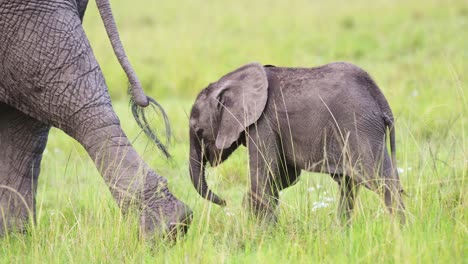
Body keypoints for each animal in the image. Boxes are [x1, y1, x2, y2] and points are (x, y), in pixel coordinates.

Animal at [188, 62, 404, 223]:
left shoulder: (263, 123)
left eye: (198, 131)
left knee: (380, 181)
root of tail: (380, 99)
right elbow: (284, 178)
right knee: (350, 184)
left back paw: (401, 230)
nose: (225, 202)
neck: (229, 81)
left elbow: (264, 176)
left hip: (360, 128)